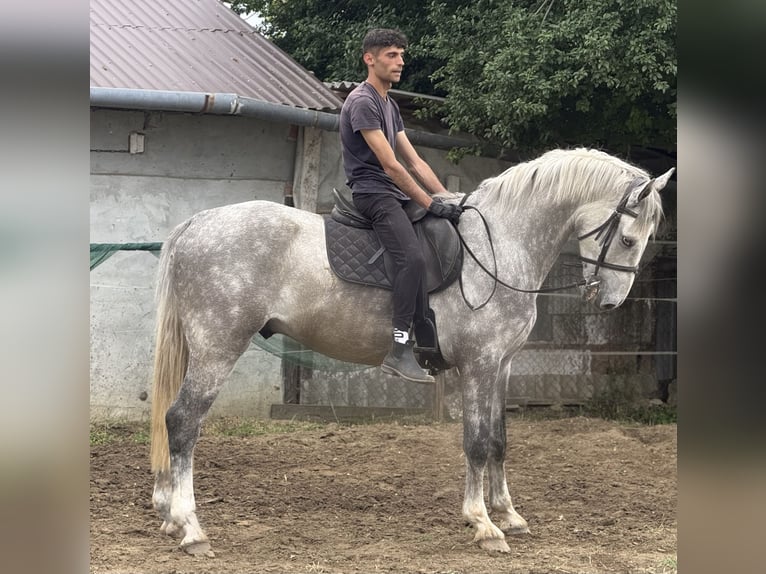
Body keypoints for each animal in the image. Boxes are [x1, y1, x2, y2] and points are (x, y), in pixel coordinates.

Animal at [149, 147, 673, 555]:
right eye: (628, 238)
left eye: (644, 240)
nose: (609, 302)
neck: (500, 245)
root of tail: (199, 222)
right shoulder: (479, 364)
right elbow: (476, 442)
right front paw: (483, 524)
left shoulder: (503, 365)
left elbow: (500, 440)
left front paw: (509, 515)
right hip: (219, 347)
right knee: (183, 421)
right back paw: (191, 528)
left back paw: (170, 515)